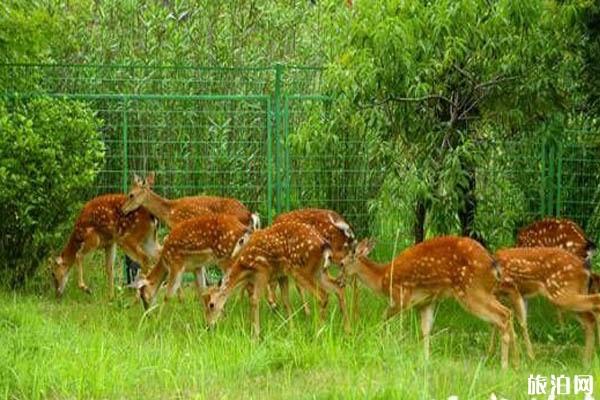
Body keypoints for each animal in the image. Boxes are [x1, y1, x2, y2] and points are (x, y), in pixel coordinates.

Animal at [204, 222, 344, 338]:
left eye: (211, 304)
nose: (209, 326)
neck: (245, 265)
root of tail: (324, 244)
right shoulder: (281, 275)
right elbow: (286, 302)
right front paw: (291, 331)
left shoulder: (262, 271)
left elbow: (254, 300)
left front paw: (255, 336)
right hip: (318, 271)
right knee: (338, 287)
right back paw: (346, 331)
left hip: (301, 269)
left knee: (323, 295)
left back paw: (318, 333)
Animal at [340, 236, 516, 370]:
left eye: (341, 264)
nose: (340, 281)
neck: (382, 278)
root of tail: (493, 265)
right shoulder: (426, 302)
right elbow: (425, 330)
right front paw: (425, 360)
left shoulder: (400, 297)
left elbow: (384, 318)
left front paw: (382, 343)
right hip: (484, 291)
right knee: (507, 314)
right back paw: (513, 361)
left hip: (471, 290)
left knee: (503, 315)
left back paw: (504, 366)